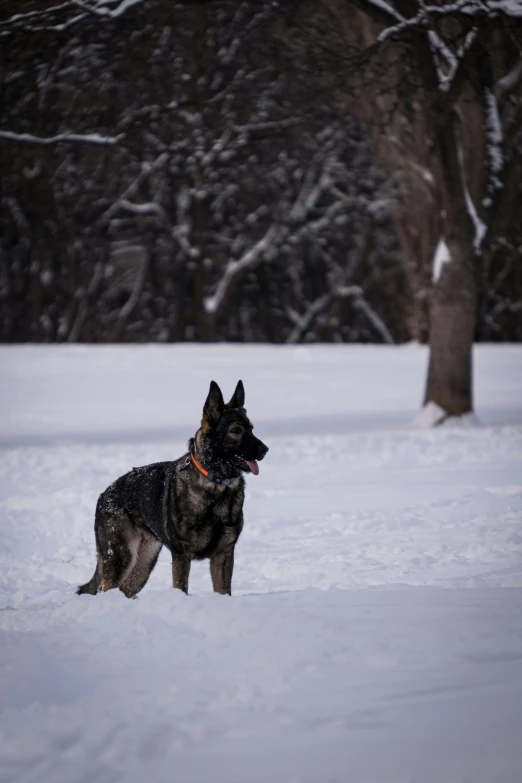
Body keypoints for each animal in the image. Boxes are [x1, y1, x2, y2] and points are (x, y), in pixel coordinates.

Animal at [77, 382, 268, 596]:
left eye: (251, 429)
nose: (265, 450)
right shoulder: (182, 555)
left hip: (145, 561)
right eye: (236, 430)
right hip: (121, 558)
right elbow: (181, 587)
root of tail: (104, 495)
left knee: (126, 589)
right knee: (105, 588)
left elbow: (223, 590)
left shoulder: (224, 554)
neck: (215, 483)